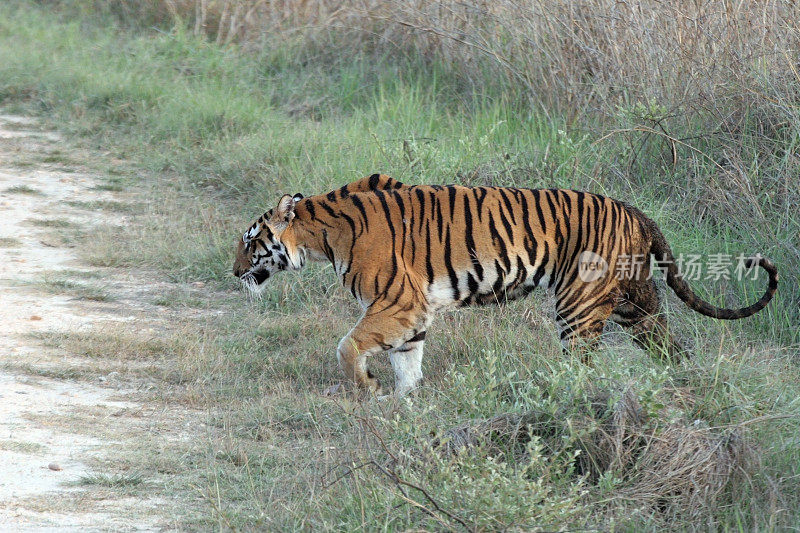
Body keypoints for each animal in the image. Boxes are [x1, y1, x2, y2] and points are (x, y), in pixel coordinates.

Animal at [230, 175, 776, 394]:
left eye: (249, 242)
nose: (233, 273)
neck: (321, 235)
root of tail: (632, 209)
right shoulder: (412, 313)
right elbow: (408, 362)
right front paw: (405, 405)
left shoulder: (396, 302)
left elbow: (348, 346)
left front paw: (367, 388)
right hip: (637, 306)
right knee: (672, 348)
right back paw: (686, 386)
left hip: (579, 308)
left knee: (583, 366)